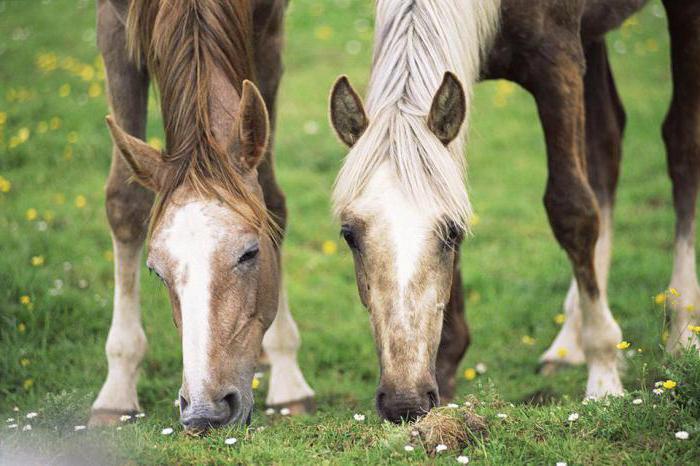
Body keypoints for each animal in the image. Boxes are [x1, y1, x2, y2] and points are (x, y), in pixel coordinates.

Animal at [89, 0, 314, 432]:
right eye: (156, 271)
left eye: (250, 253)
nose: (206, 412)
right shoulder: (112, 24)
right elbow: (124, 203)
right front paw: (117, 389)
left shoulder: (268, 28)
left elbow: (272, 200)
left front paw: (288, 374)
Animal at [330, 0, 700, 422]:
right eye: (349, 234)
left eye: (452, 232)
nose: (404, 402)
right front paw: (447, 373)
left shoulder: (557, 63)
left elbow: (572, 210)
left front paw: (604, 380)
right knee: (606, 145)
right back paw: (569, 342)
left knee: (682, 144)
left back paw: (683, 331)